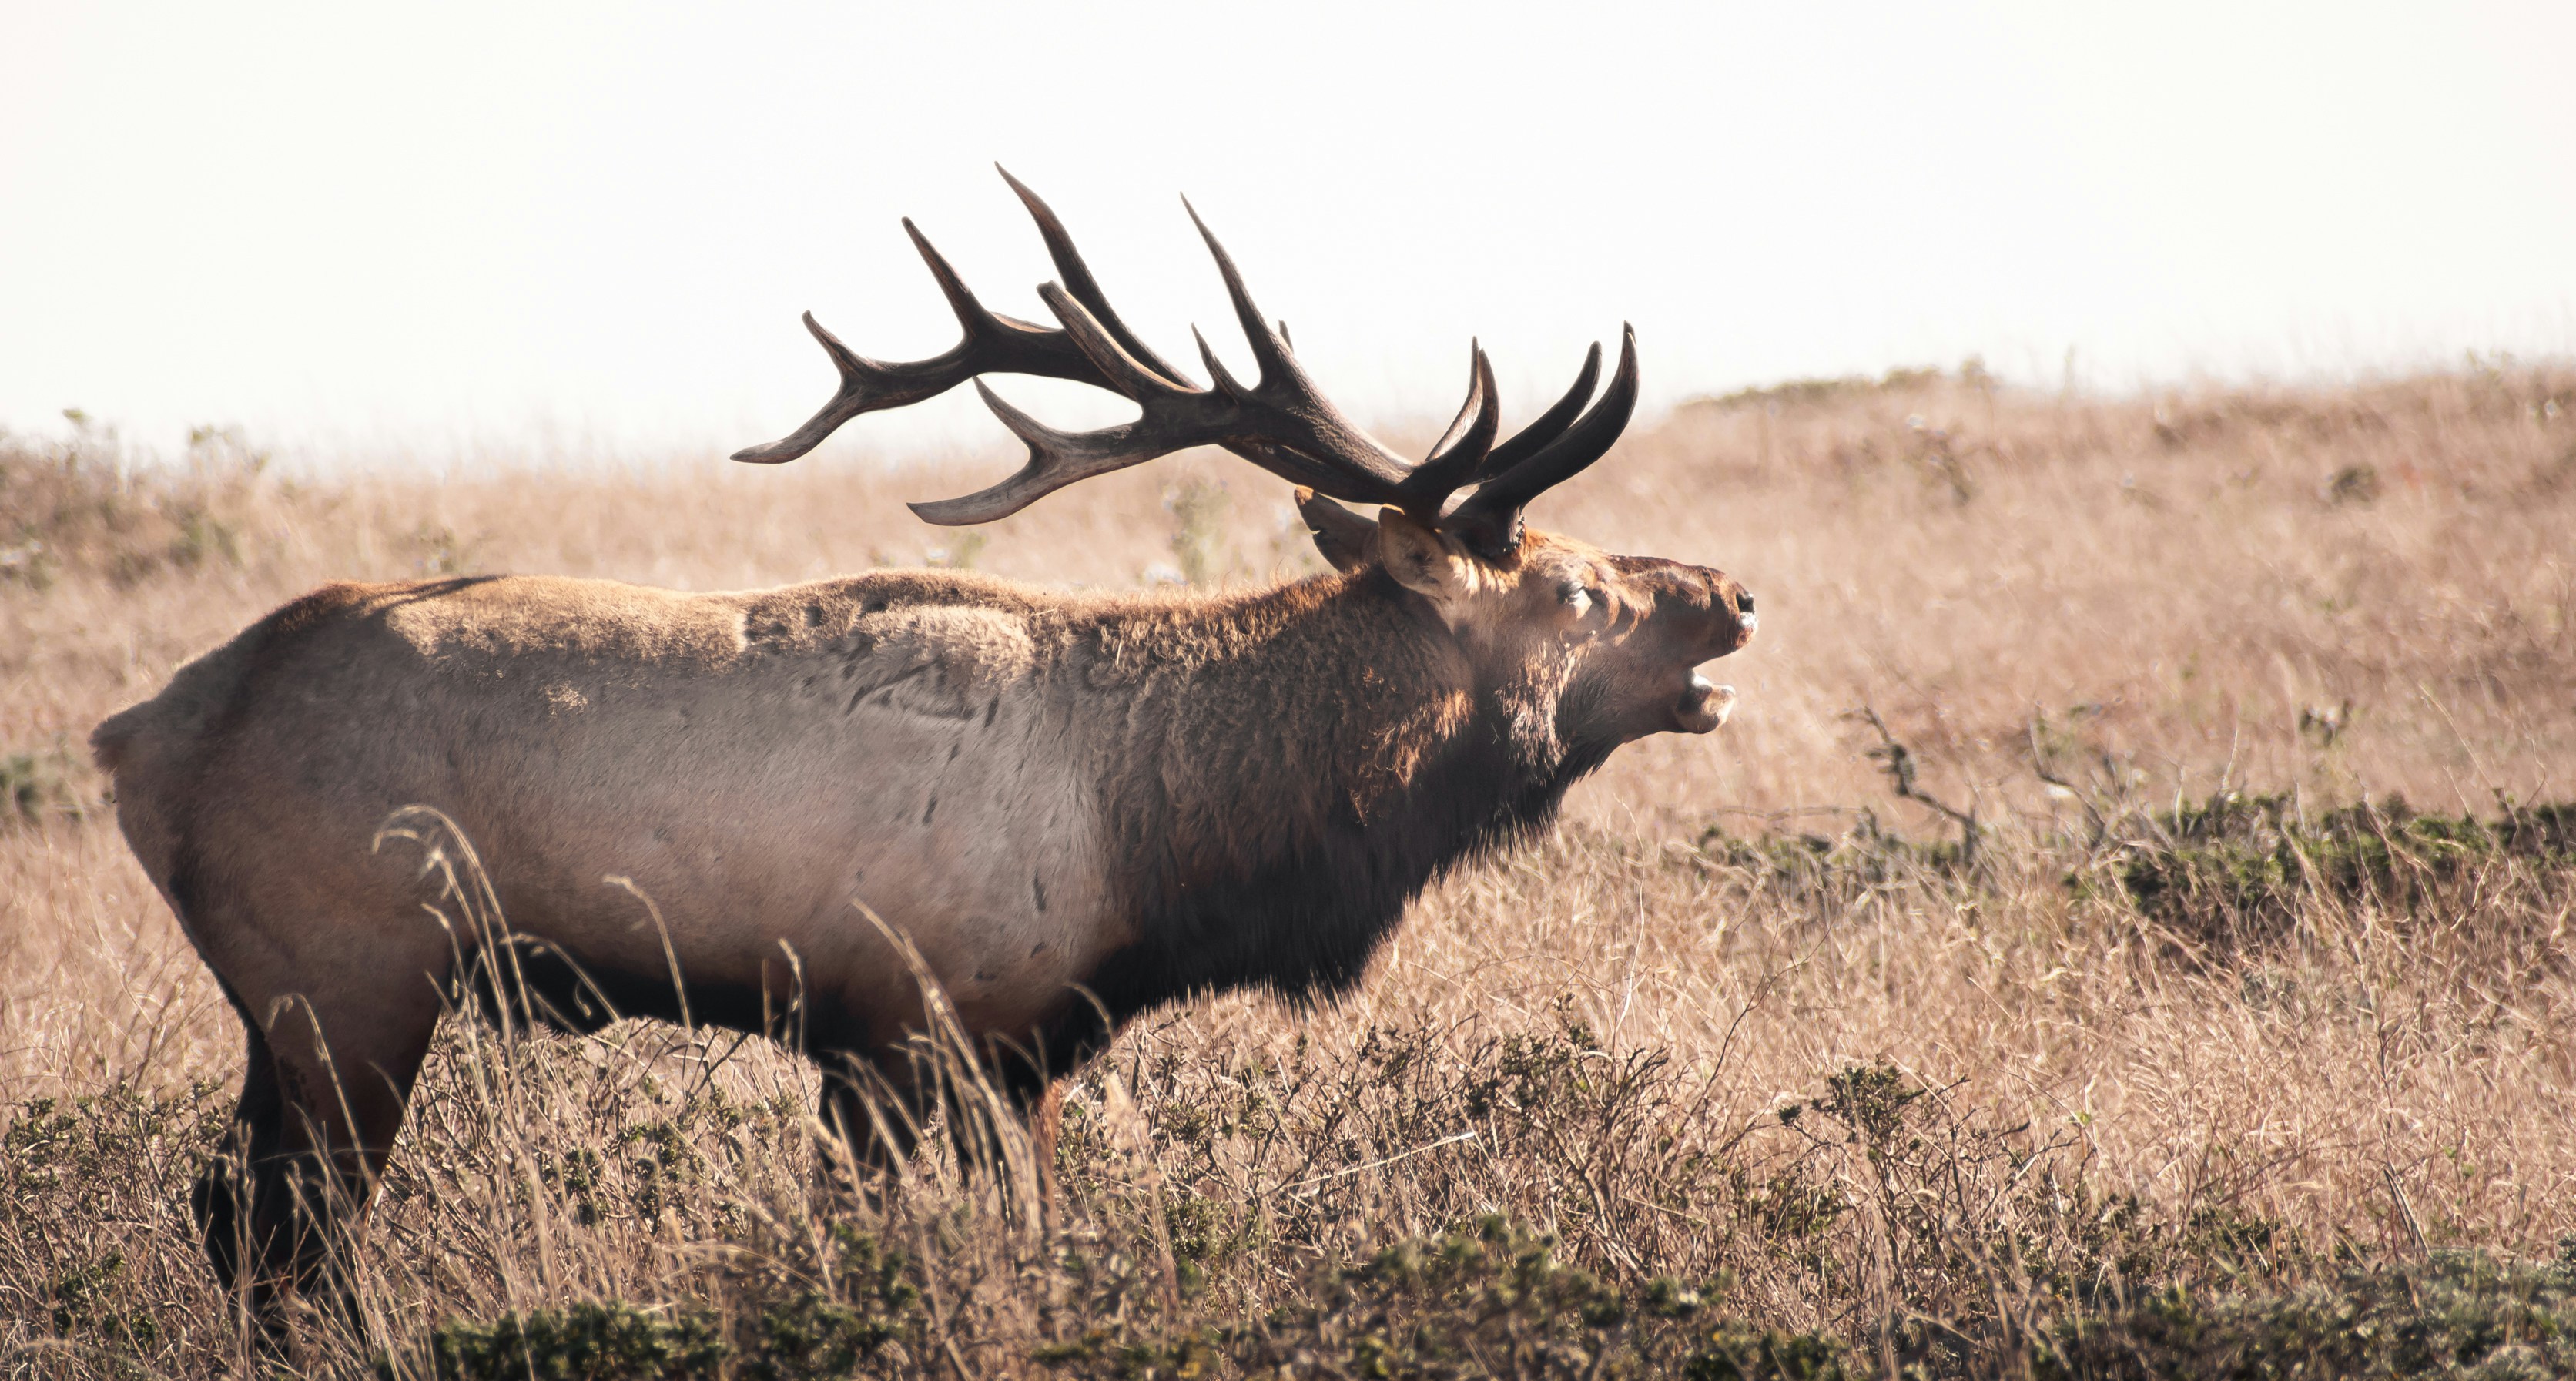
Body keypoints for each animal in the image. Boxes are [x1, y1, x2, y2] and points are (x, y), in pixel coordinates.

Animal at [90, 169, 1755, 1338]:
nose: (1731, 593)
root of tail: (137, 733)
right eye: (1578, 589)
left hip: (288, 1004)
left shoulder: (1004, 1043)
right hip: (353, 976)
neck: (1166, 837)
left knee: (225, 1212)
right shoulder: (909, 1016)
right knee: (295, 1236)